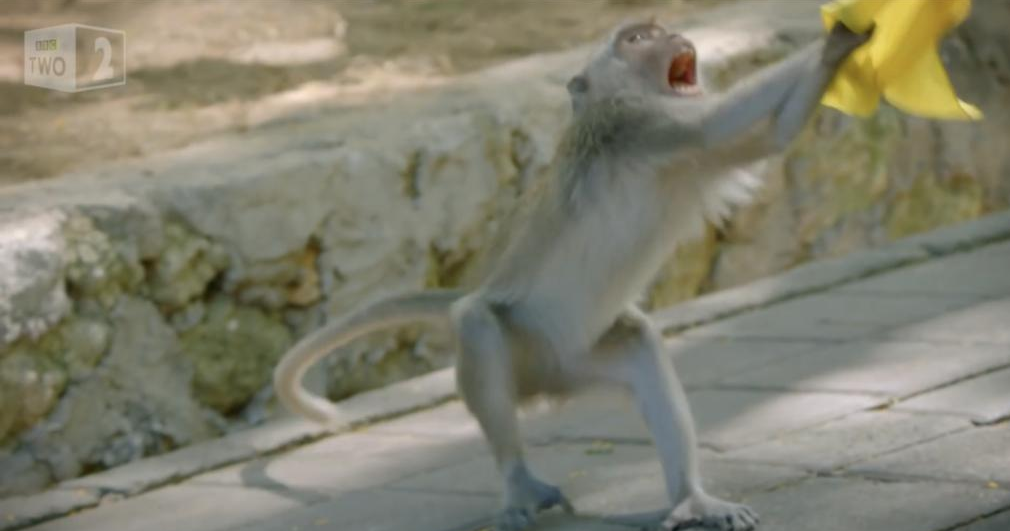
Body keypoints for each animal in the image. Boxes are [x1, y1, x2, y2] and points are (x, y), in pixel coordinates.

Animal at [274, 19, 870, 531]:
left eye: (658, 31)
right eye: (637, 38)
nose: (674, 36)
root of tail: (542, 381)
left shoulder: (680, 149)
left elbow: (770, 138)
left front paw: (838, 50)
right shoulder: (631, 125)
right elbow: (712, 123)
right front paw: (839, 42)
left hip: (573, 362)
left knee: (639, 343)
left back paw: (691, 499)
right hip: (521, 345)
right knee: (476, 321)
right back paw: (518, 483)